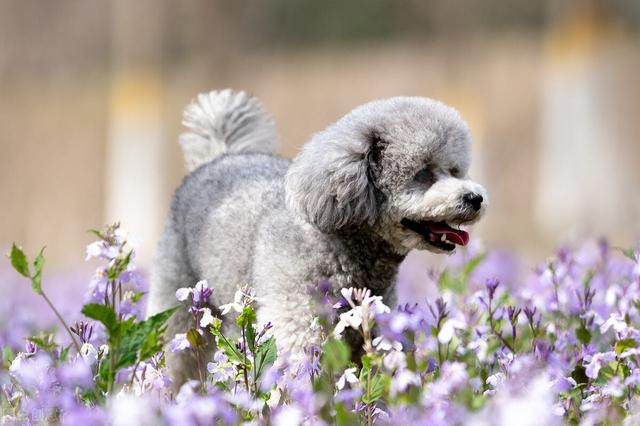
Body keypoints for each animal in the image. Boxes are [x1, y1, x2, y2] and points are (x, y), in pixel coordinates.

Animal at [148, 90, 488, 386]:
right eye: (423, 174)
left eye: (455, 170)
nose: (476, 198)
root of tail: (221, 154)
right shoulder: (296, 325)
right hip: (179, 312)